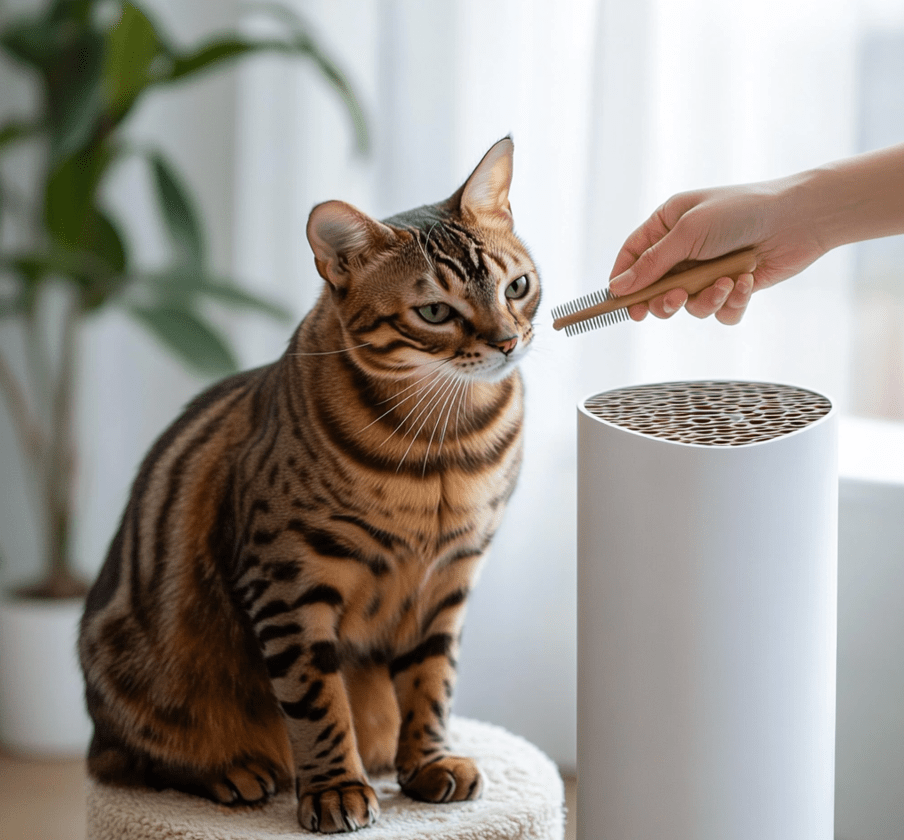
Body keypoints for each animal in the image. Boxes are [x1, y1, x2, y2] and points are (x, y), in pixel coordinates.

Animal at [77, 138, 540, 832]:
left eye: (518, 286)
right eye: (435, 312)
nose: (509, 341)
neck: (447, 449)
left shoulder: (450, 579)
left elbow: (432, 683)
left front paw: (428, 763)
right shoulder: (288, 580)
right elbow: (317, 703)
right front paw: (333, 789)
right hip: (132, 683)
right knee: (131, 759)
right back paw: (236, 772)